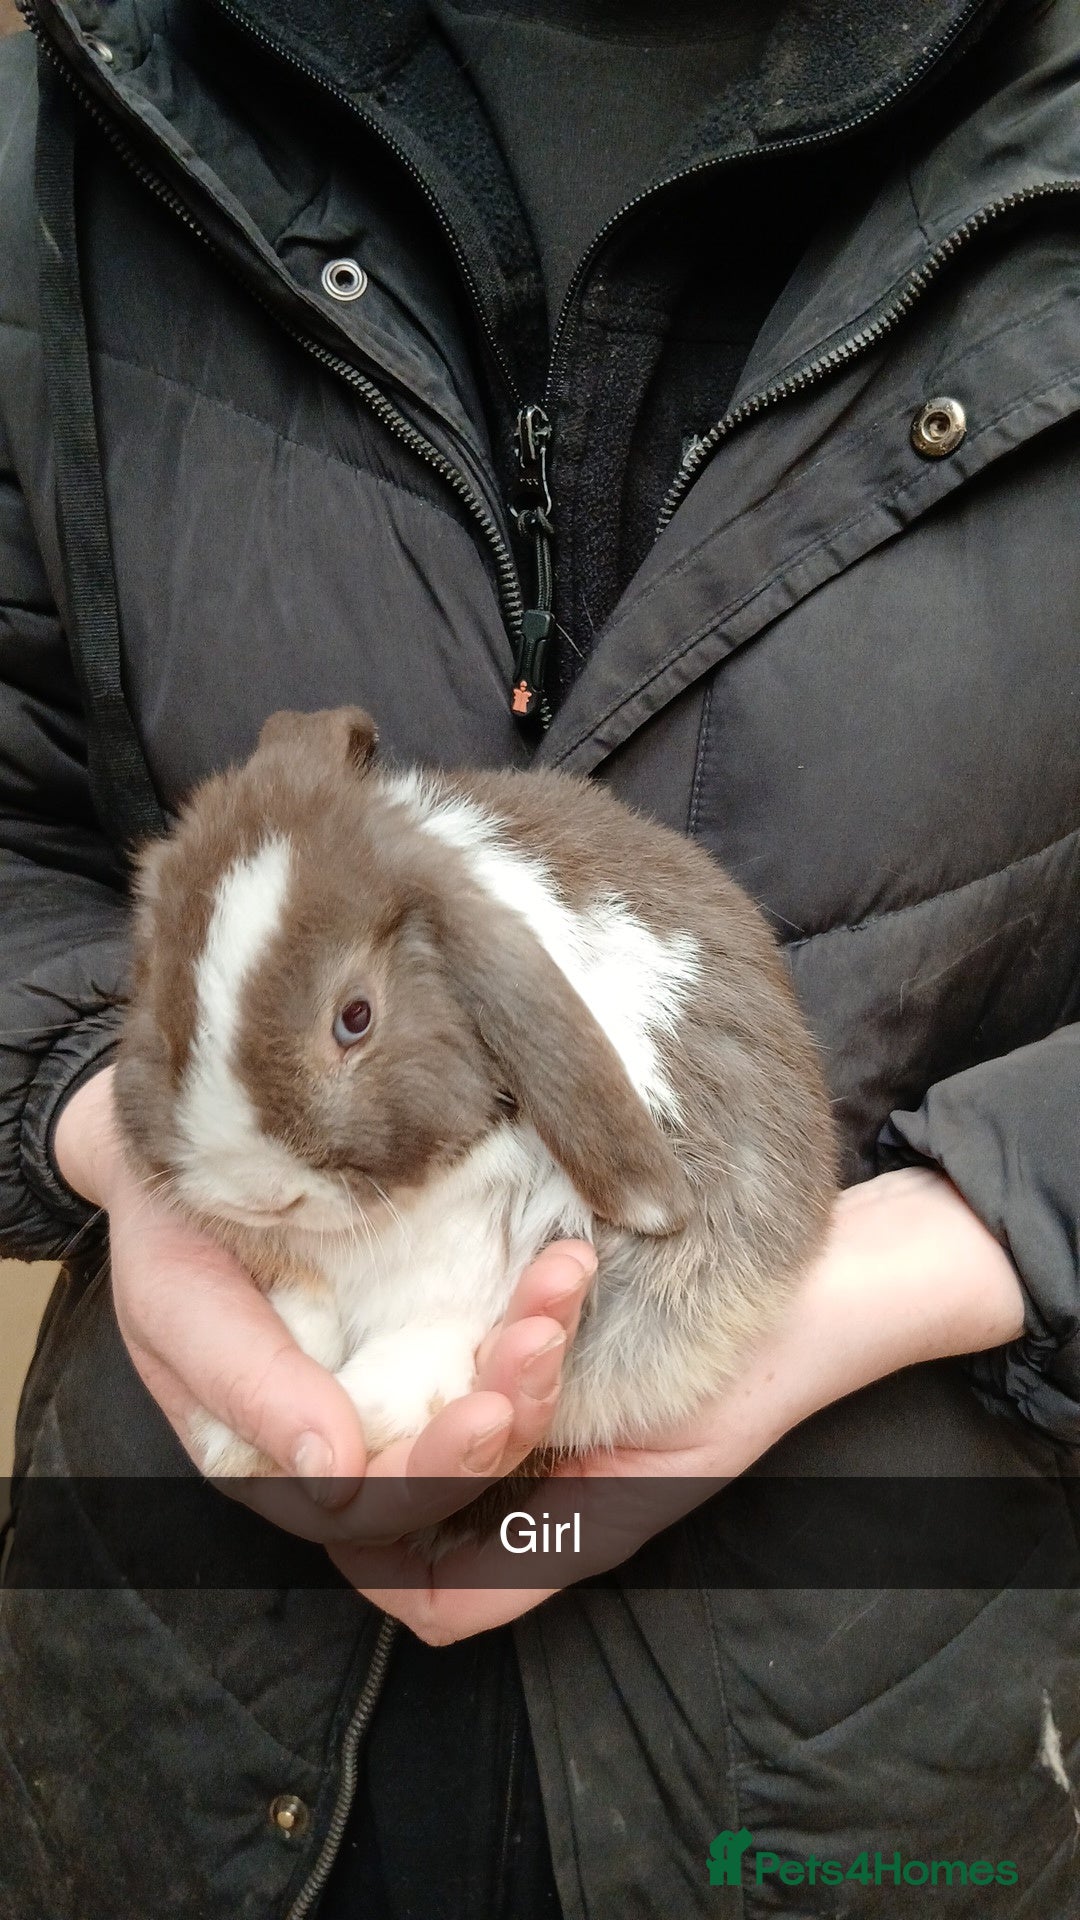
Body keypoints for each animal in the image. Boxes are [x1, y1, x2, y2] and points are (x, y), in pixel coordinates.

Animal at [114, 706, 837, 1492]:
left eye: (356, 1017)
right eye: (158, 996)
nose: (256, 1193)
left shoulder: (494, 1259)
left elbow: (434, 1331)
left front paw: (363, 1412)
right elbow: (305, 1312)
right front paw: (230, 1436)